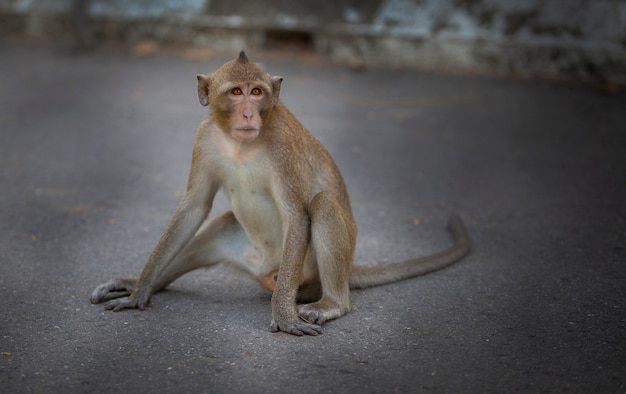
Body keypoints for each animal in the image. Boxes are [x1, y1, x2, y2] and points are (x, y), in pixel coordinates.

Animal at [90, 51, 470, 336]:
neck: (240, 144)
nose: (248, 113)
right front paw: (139, 290)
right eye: (236, 92)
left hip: (306, 275)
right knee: (216, 227)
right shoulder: (204, 138)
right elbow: (194, 207)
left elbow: (296, 214)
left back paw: (331, 304)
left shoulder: (282, 146)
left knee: (323, 205)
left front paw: (285, 316)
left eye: (257, 93)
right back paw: (136, 283)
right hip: (248, 251)